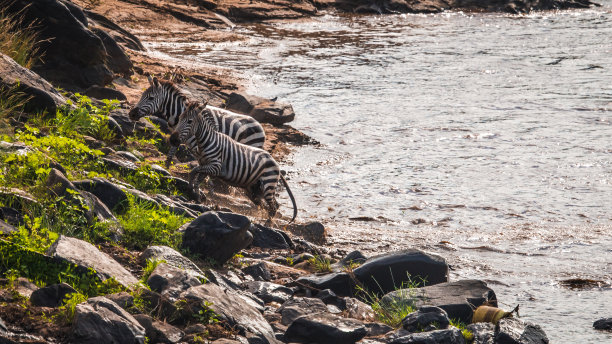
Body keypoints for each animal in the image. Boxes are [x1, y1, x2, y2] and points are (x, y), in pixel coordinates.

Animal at [128, 75, 264, 167]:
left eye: (151, 98)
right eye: (142, 95)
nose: (131, 114)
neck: (179, 113)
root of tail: (259, 126)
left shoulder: (199, 144)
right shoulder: (176, 137)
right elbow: (170, 155)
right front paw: (165, 169)